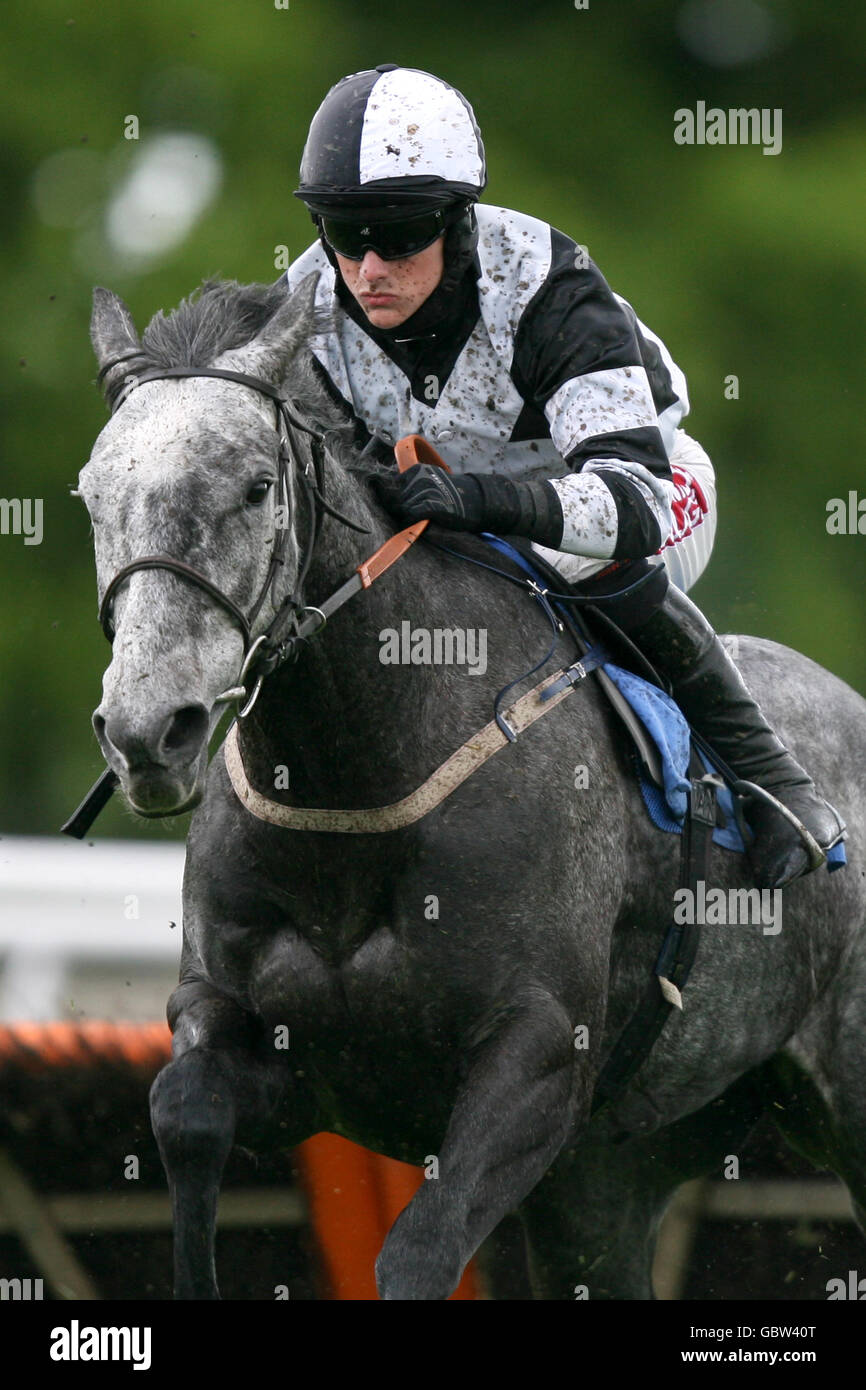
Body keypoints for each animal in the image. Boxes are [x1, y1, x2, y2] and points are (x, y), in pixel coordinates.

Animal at [77, 276, 866, 1295]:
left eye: (254, 486)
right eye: (93, 496)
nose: (147, 731)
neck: (355, 795)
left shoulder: (537, 1061)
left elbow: (421, 1250)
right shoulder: (272, 1046)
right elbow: (185, 1114)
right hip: (606, 1181)